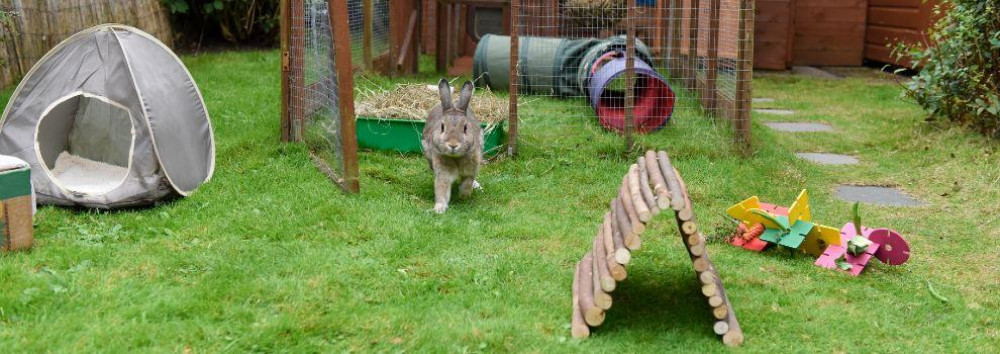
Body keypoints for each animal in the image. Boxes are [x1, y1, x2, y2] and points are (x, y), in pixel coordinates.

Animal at [422, 79, 484, 214]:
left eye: (465, 127)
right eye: (442, 127)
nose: (453, 145)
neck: (456, 158)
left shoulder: (471, 169)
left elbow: (468, 182)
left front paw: (463, 196)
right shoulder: (443, 173)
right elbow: (441, 189)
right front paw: (439, 208)